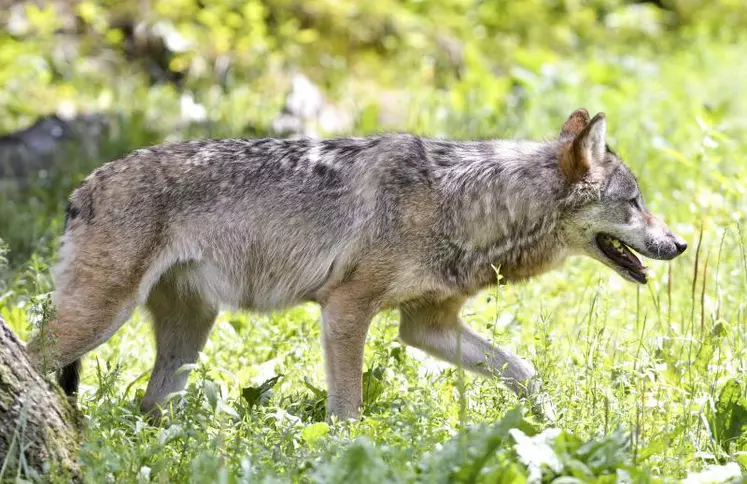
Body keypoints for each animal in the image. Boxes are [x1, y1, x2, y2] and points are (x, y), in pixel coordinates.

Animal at [26, 108, 688, 420]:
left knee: (150, 406)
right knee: (34, 359)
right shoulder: (345, 310)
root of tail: (82, 187)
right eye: (635, 202)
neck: (468, 201)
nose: (680, 244)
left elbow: (523, 370)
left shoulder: (427, 325)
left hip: (189, 332)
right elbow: (347, 409)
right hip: (99, 318)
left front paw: (552, 426)